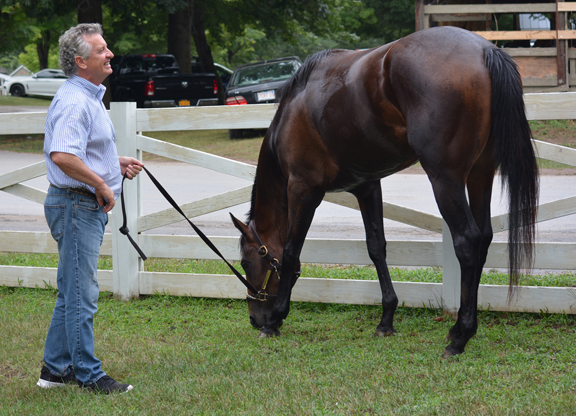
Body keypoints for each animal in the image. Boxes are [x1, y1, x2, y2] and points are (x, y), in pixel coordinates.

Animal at [230, 26, 540, 358]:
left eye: (246, 263)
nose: (255, 318)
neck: (293, 111)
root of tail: (483, 50)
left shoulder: (303, 189)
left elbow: (291, 252)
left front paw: (275, 321)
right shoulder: (367, 186)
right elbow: (376, 247)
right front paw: (386, 320)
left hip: (445, 178)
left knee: (468, 242)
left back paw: (460, 336)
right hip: (480, 173)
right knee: (483, 238)